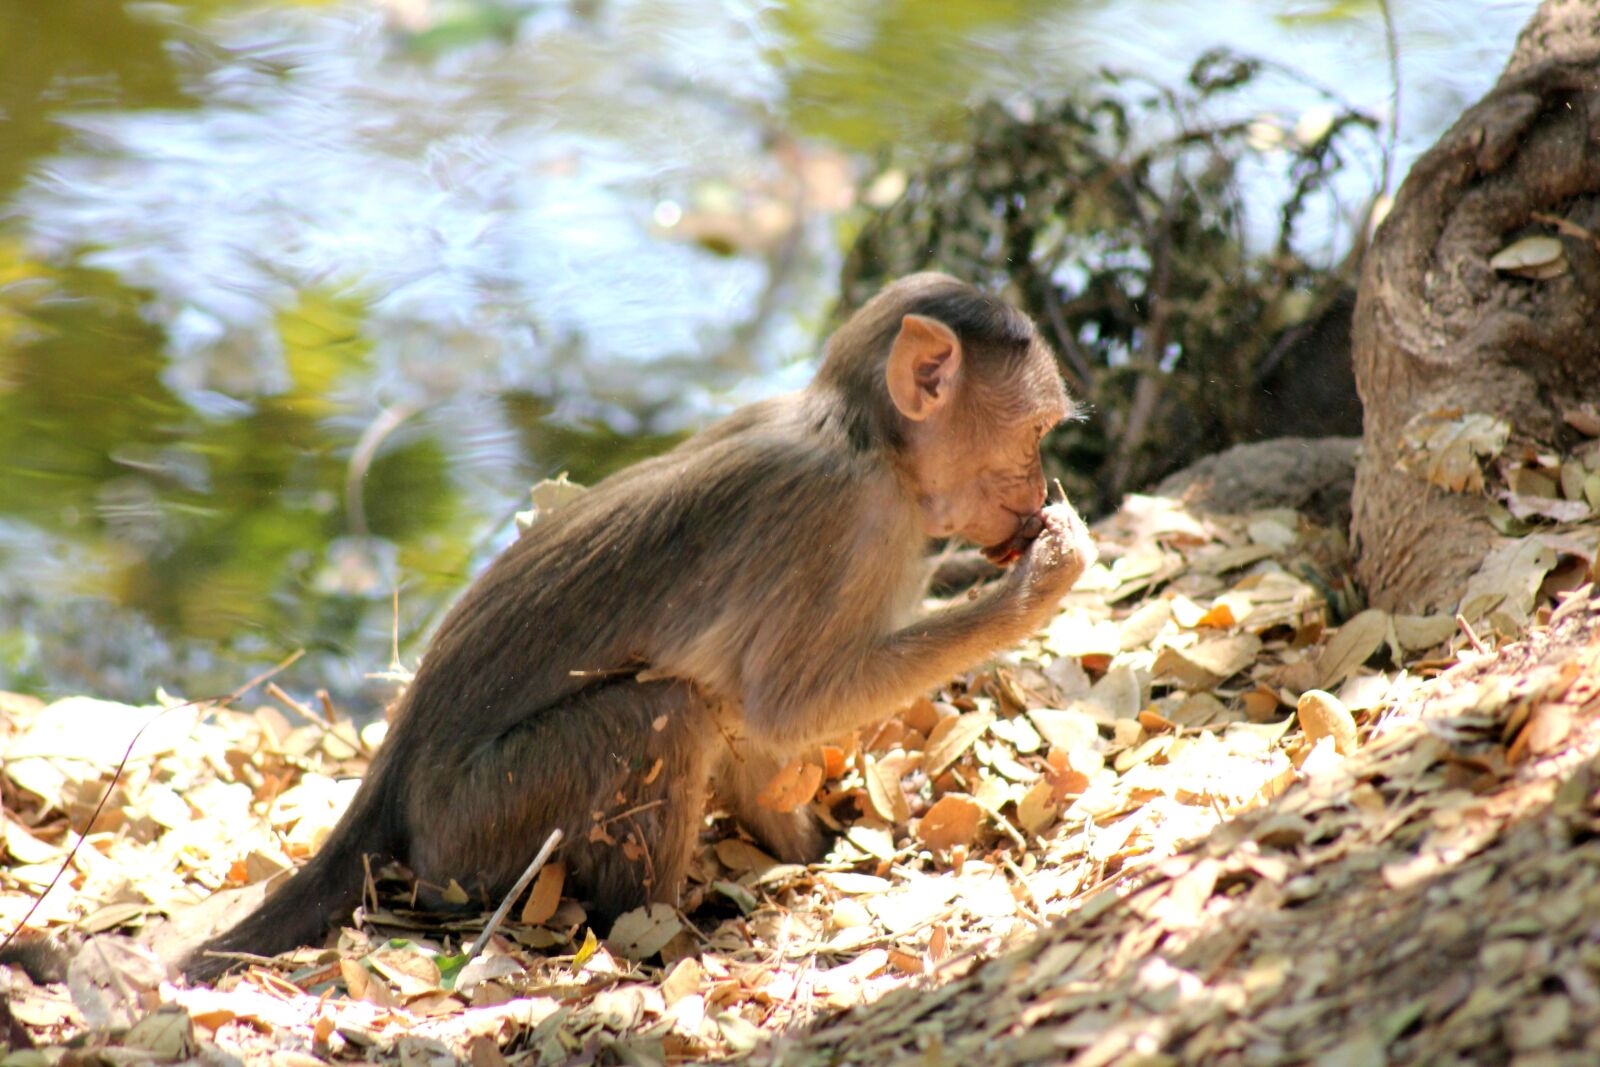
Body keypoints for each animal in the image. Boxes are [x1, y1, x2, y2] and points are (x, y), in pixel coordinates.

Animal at [180, 272, 1095, 983]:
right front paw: (1033, 587)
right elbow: (779, 705)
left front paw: (810, 838)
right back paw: (659, 934)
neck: (868, 443)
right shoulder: (841, 518)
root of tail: (395, 773)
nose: (1036, 488)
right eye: (1033, 434)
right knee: (661, 712)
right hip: (479, 828)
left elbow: (760, 725)